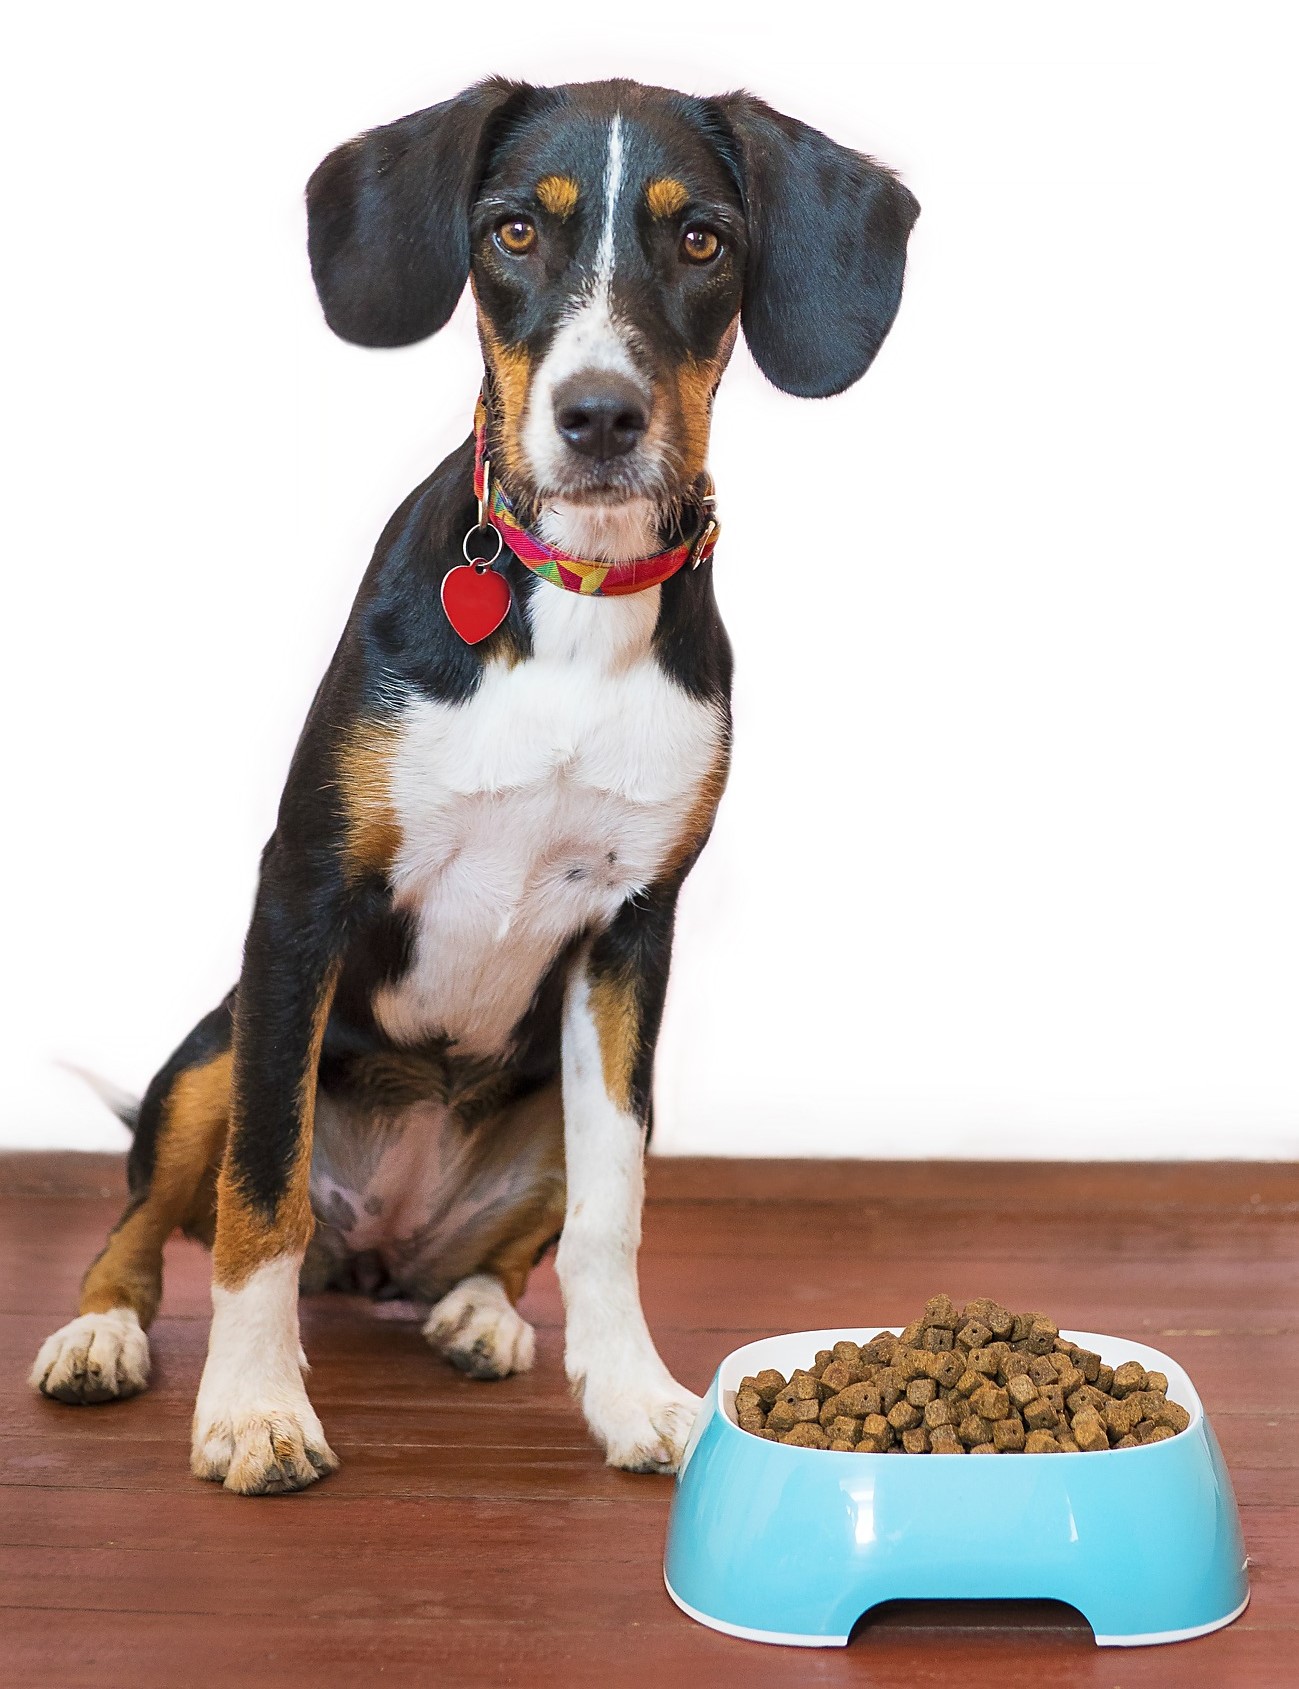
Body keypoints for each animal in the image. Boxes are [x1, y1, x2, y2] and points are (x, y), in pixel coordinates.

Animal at [27, 76, 912, 1493]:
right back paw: (103, 1337)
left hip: (559, 1097)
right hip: (216, 1046)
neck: (574, 602)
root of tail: (377, 1246)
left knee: (506, 1246)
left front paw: (631, 1396)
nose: (599, 415)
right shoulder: (303, 894)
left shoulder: (631, 939)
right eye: (512, 231)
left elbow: (612, 1219)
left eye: (703, 240)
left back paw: (478, 1314)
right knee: (155, 1215)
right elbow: (256, 1196)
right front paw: (255, 1408)